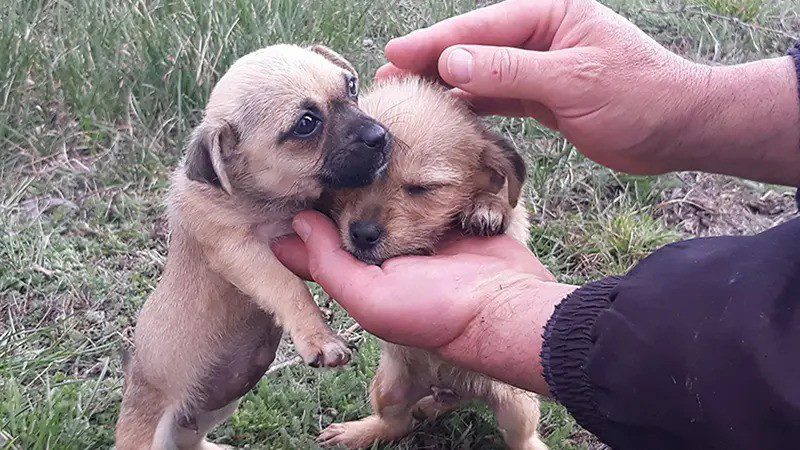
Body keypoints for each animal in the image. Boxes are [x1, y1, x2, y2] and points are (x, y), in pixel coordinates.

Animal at [117, 44, 392, 450]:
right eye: (306, 124)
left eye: (352, 87)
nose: (380, 135)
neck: (265, 201)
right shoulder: (241, 253)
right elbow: (288, 288)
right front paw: (319, 337)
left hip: (214, 409)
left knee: (188, 439)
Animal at [318, 77, 552, 450]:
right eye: (352, 181)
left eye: (422, 188)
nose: (362, 234)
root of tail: (454, 388)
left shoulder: (516, 224)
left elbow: (505, 203)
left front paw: (487, 207)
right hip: (390, 386)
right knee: (396, 422)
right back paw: (363, 430)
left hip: (516, 404)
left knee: (523, 439)